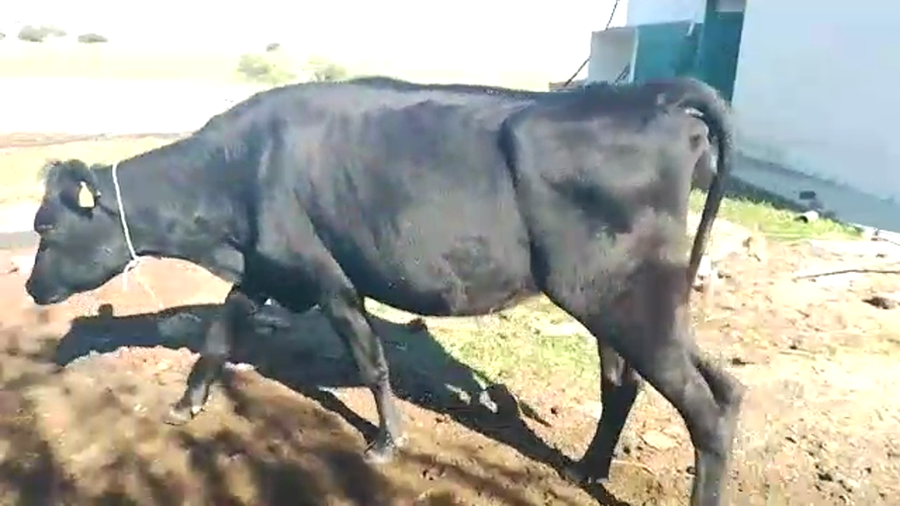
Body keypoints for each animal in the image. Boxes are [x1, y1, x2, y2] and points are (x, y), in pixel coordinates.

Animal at [25, 75, 743, 505]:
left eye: (46, 228)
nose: (30, 288)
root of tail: (653, 97)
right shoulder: (267, 269)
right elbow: (220, 334)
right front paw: (187, 403)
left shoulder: (327, 277)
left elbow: (369, 359)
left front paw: (386, 440)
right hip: (624, 299)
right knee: (669, 384)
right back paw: (587, 469)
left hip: (619, 295)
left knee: (702, 407)